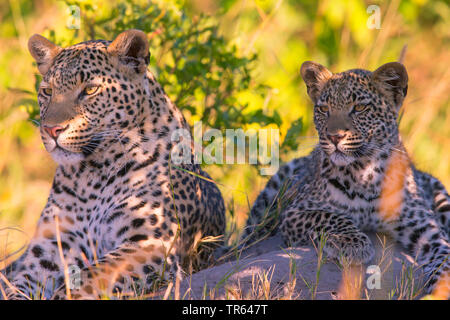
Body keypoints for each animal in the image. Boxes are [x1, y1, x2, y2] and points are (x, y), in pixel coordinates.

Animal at [0, 28, 225, 298]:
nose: (52, 130)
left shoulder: (150, 242)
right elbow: (17, 285)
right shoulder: (49, 247)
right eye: (47, 91)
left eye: (90, 90)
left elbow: (90, 276)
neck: (91, 175)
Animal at [243, 62, 450, 298]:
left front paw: (442, 288)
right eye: (324, 109)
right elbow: (329, 216)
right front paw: (353, 244)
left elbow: (443, 256)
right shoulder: (296, 211)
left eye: (359, 108)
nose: (334, 137)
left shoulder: (427, 227)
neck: (366, 173)